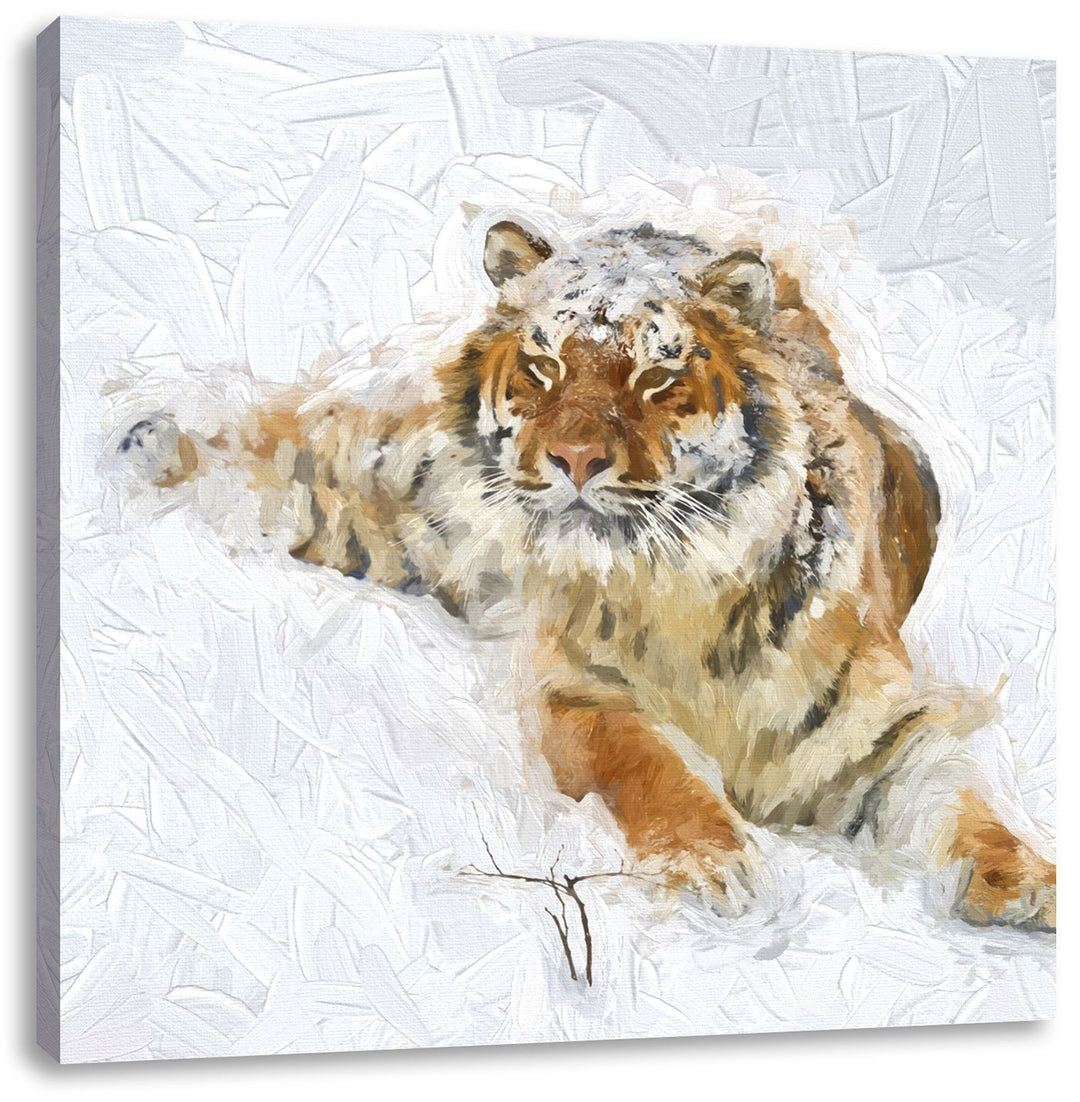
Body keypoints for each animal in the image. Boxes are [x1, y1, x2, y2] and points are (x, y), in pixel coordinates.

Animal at [116, 217, 1056, 932]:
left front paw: (1024, 884)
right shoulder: (581, 692)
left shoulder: (881, 725)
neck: (681, 588)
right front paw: (714, 868)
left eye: (657, 374)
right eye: (545, 367)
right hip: (398, 495)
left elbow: (962, 802)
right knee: (301, 459)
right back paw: (151, 440)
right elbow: (652, 768)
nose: (574, 459)